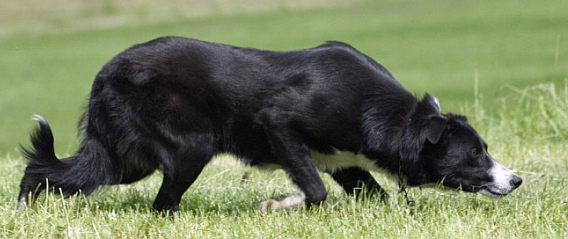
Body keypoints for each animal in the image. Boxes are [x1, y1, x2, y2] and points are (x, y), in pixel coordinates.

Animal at [18, 36, 524, 212]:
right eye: (474, 152)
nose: (517, 180)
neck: (389, 117)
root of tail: (105, 73)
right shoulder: (279, 124)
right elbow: (314, 190)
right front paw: (279, 203)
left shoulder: (345, 161)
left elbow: (370, 195)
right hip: (189, 147)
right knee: (161, 203)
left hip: (126, 159)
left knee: (51, 172)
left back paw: (26, 209)